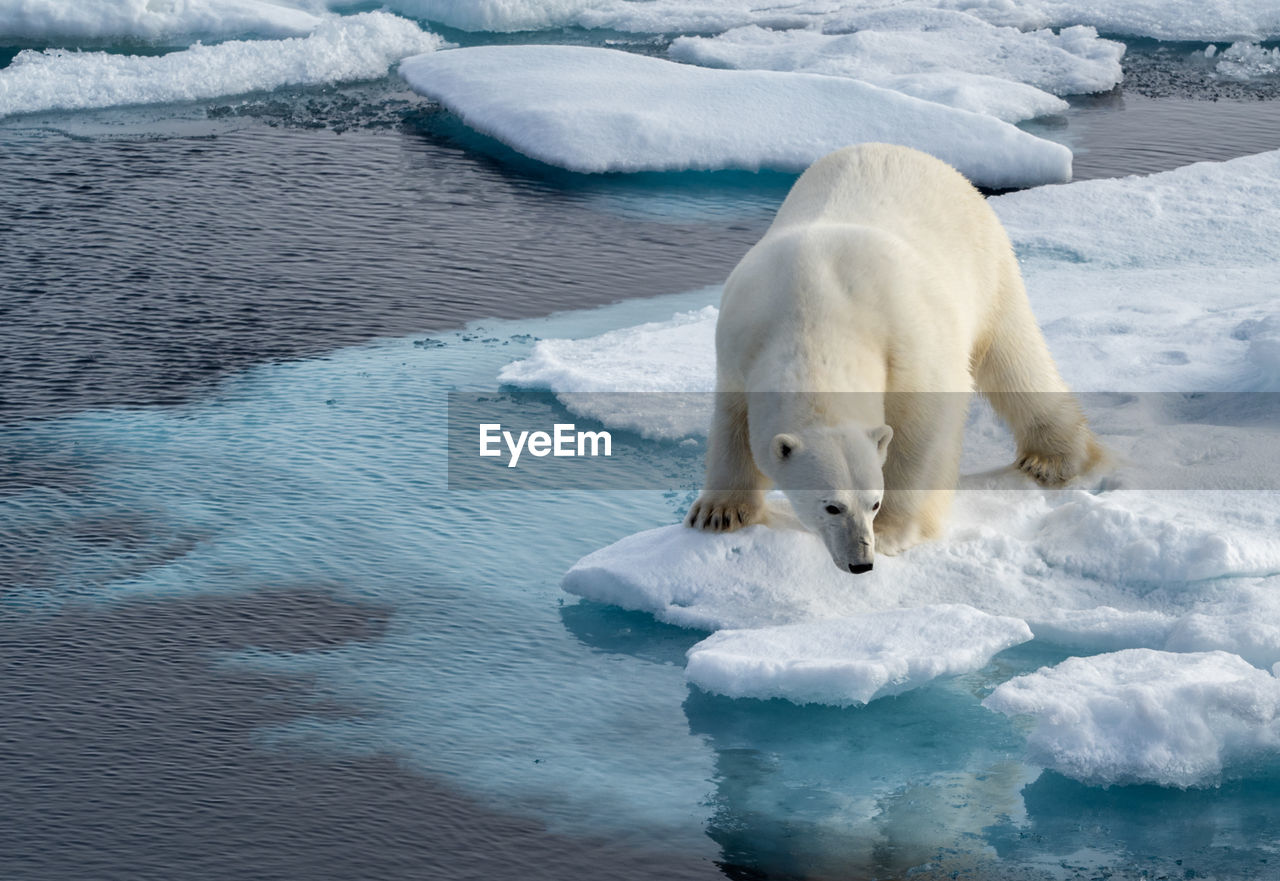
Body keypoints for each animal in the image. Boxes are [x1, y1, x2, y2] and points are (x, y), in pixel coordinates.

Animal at [691, 142, 1100, 571]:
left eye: (873, 502)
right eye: (831, 506)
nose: (860, 561)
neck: (814, 315)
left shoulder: (907, 342)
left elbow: (922, 431)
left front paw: (892, 530)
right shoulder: (739, 343)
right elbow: (732, 425)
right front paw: (719, 512)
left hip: (986, 265)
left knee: (1014, 361)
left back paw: (1051, 459)